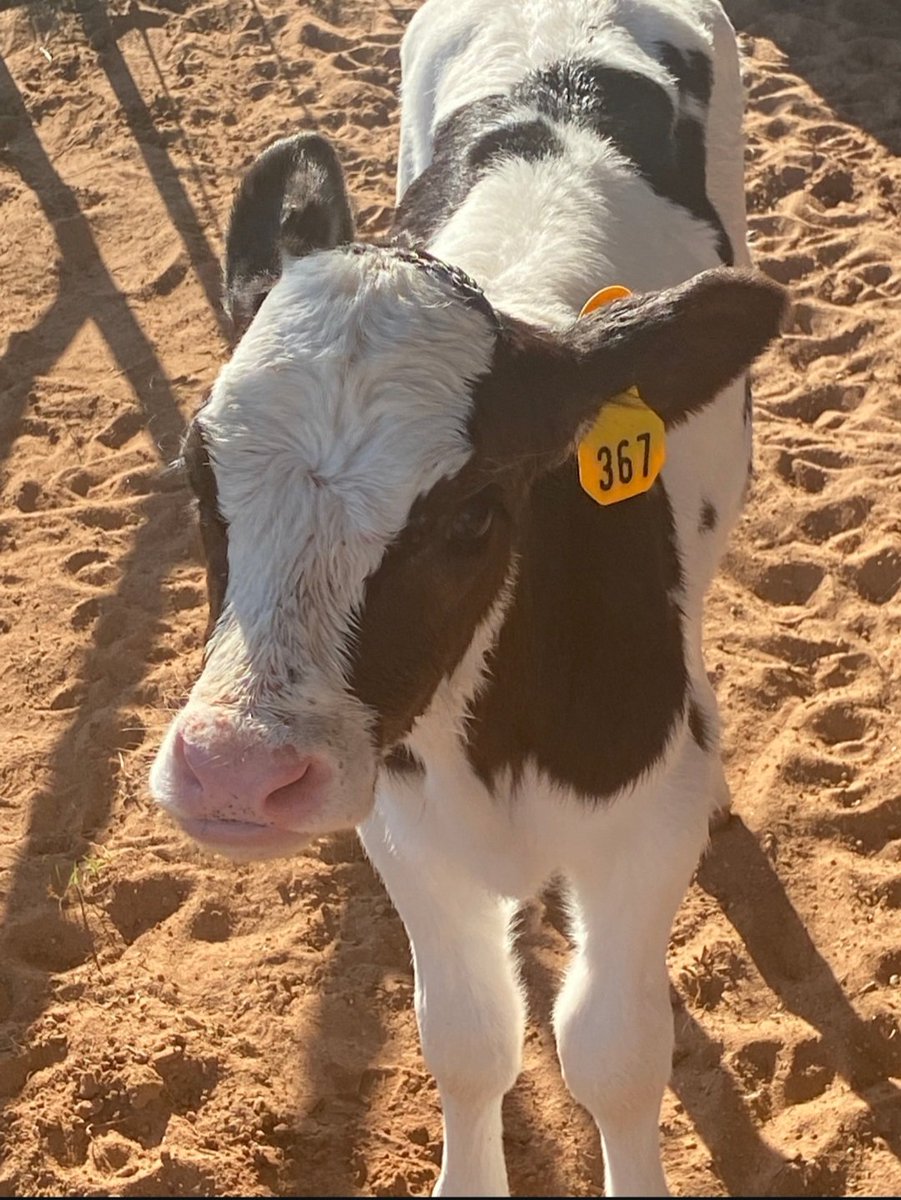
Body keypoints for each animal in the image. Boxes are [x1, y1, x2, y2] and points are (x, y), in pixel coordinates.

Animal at [150, 0, 784, 1193]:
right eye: (197, 478)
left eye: (474, 514)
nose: (237, 772)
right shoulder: (404, 823)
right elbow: (469, 1037)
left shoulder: (642, 824)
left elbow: (612, 1051)